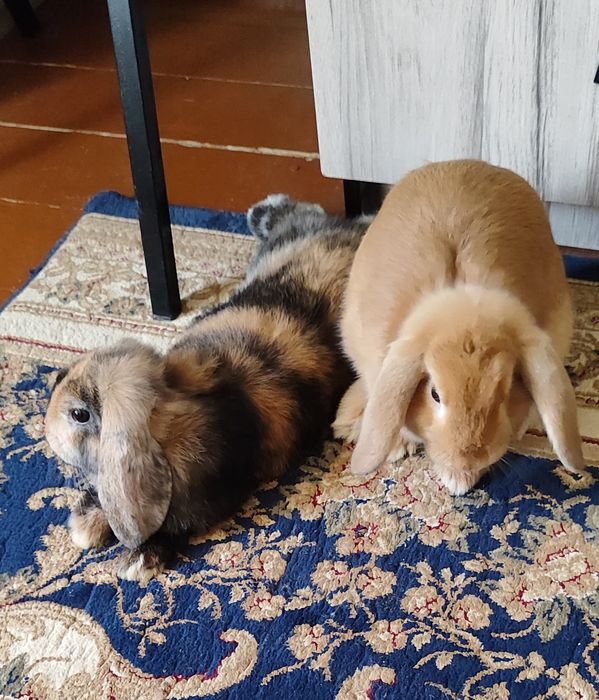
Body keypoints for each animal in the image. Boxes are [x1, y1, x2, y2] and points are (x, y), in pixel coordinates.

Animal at [45, 194, 367, 582]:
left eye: (80, 414)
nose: (47, 424)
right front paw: (86, 524)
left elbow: (177, 526)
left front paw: (138, 561)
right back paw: (261, 210)